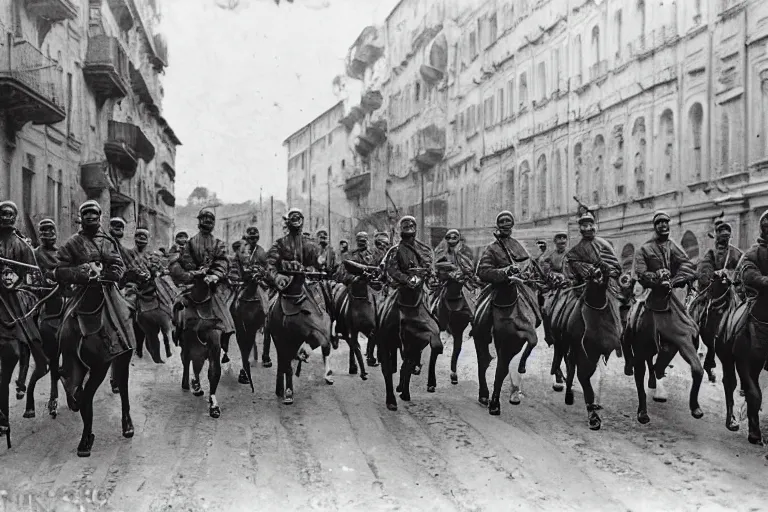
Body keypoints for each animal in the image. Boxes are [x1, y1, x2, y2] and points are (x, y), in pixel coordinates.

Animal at [179, 270, 225, 418]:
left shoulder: (214, 348)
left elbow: (214, 372)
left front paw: (214, 405)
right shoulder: (187, 347)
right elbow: (187, 362)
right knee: (190, 363)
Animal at [560, 264, 624, 428]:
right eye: (591, 273)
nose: (600, 271)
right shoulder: (584, 354)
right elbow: (583, 377)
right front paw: (593, 416)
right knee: (574, 371)